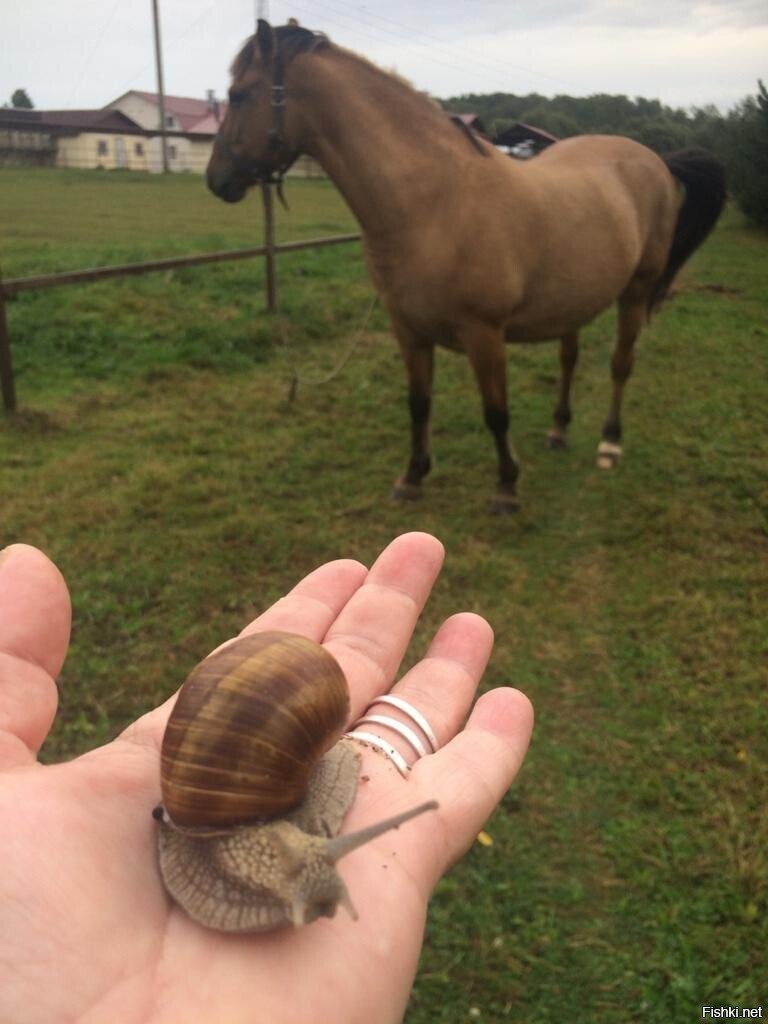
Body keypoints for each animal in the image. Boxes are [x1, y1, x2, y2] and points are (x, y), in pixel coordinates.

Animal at [205, 19, 729, 507]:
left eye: (238, 94)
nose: (216, 179)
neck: (435, 204)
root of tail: (656, 159)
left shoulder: (484, 334)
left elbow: (496, 411)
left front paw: (507, 487)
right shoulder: (408, 331)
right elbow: (418, 403)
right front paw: (413, 477)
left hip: (636, 291)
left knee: (621, 364)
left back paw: (609, 444)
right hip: (574, 300)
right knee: (569, 359)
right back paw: (559, 431)